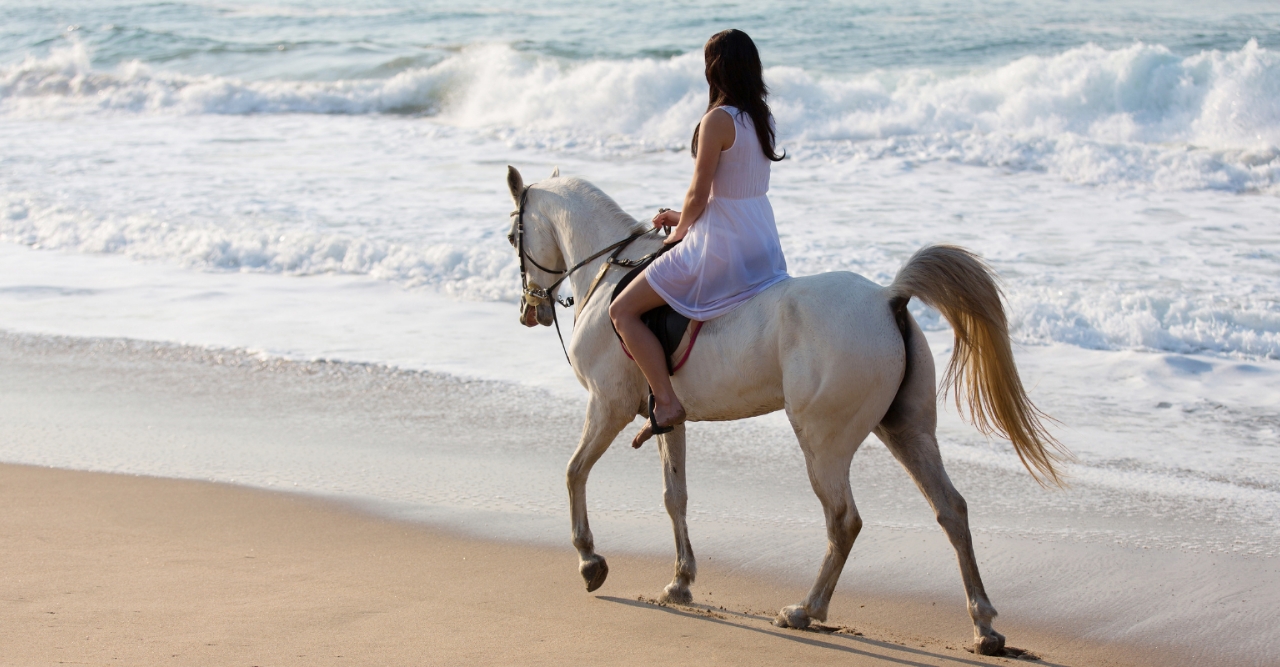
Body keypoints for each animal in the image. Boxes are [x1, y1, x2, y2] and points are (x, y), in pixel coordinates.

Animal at [504, 163, 1064, 652]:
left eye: (513, 239)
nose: (530, 311)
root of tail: (889, 298)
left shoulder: (608, 406)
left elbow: (574, 472)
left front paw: (589, 561)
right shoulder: (668, 419)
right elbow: (674, 496)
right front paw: (680, 582)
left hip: (823, 442)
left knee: (844, 520)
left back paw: (806, 610)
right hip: (906, 431)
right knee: (951, 509)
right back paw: (984, 627)